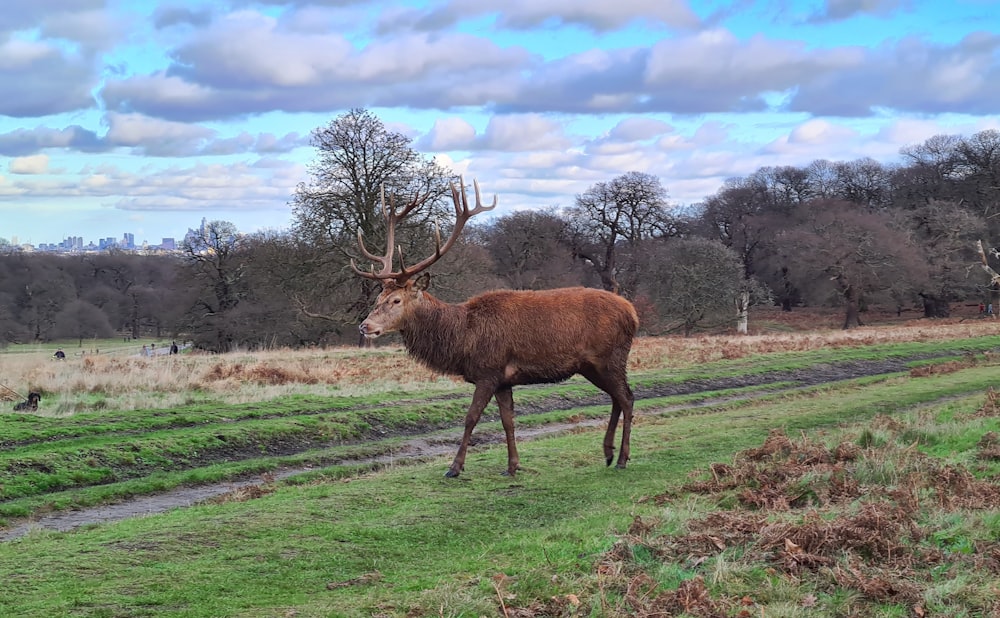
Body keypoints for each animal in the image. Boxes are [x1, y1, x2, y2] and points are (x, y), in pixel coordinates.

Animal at [356, 178, 636, 476]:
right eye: (378, 297)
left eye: (396, 300)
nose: (365, 326)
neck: (463, 337)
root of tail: (633, 313)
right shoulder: (504, 379)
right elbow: (507, 420)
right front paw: (512, 466)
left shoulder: (488, 371)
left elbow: (471, 418)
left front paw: (454, 467)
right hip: (593, 366)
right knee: (617, 398)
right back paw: (608, 453)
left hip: (611, 357)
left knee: (627, 398)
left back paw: (621, 458)